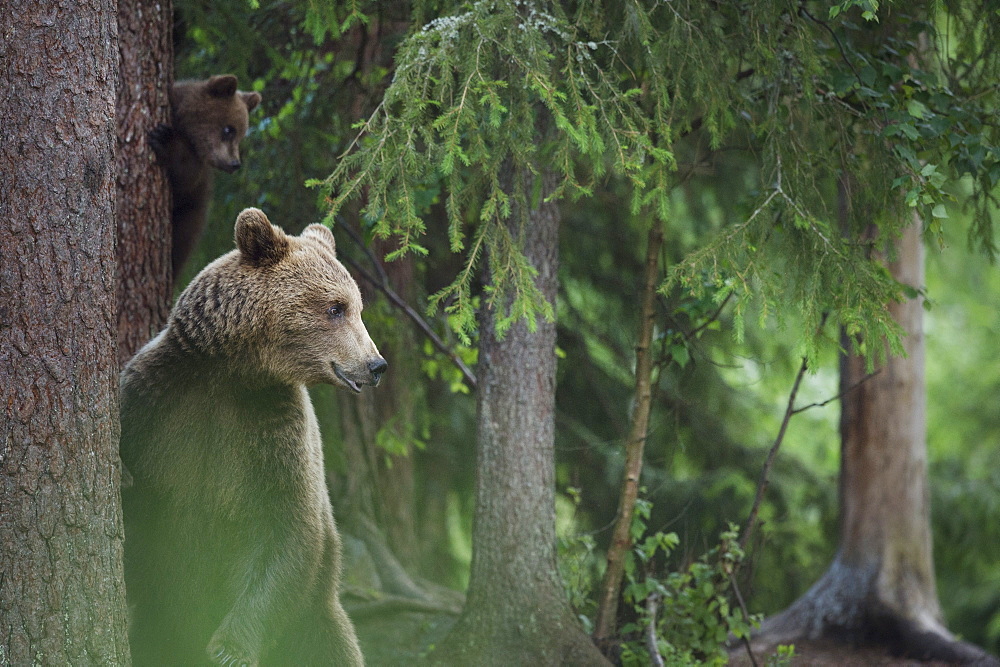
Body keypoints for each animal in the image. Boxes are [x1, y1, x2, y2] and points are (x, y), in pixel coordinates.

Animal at [117, 206, 382, 664]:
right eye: (337, 307)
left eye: (357, 307)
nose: (376, 364)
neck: (234, 373)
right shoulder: (158, 401)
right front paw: (121, 475)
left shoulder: (272, 432)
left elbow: (288, 529)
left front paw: (230, 648)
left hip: (316, 621)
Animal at [149, 75, 262, 280]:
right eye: (229, 129)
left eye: (241, 135)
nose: (235, 163)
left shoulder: (197, 176)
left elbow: (187, 175)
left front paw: (164, 140)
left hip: (190, 216)